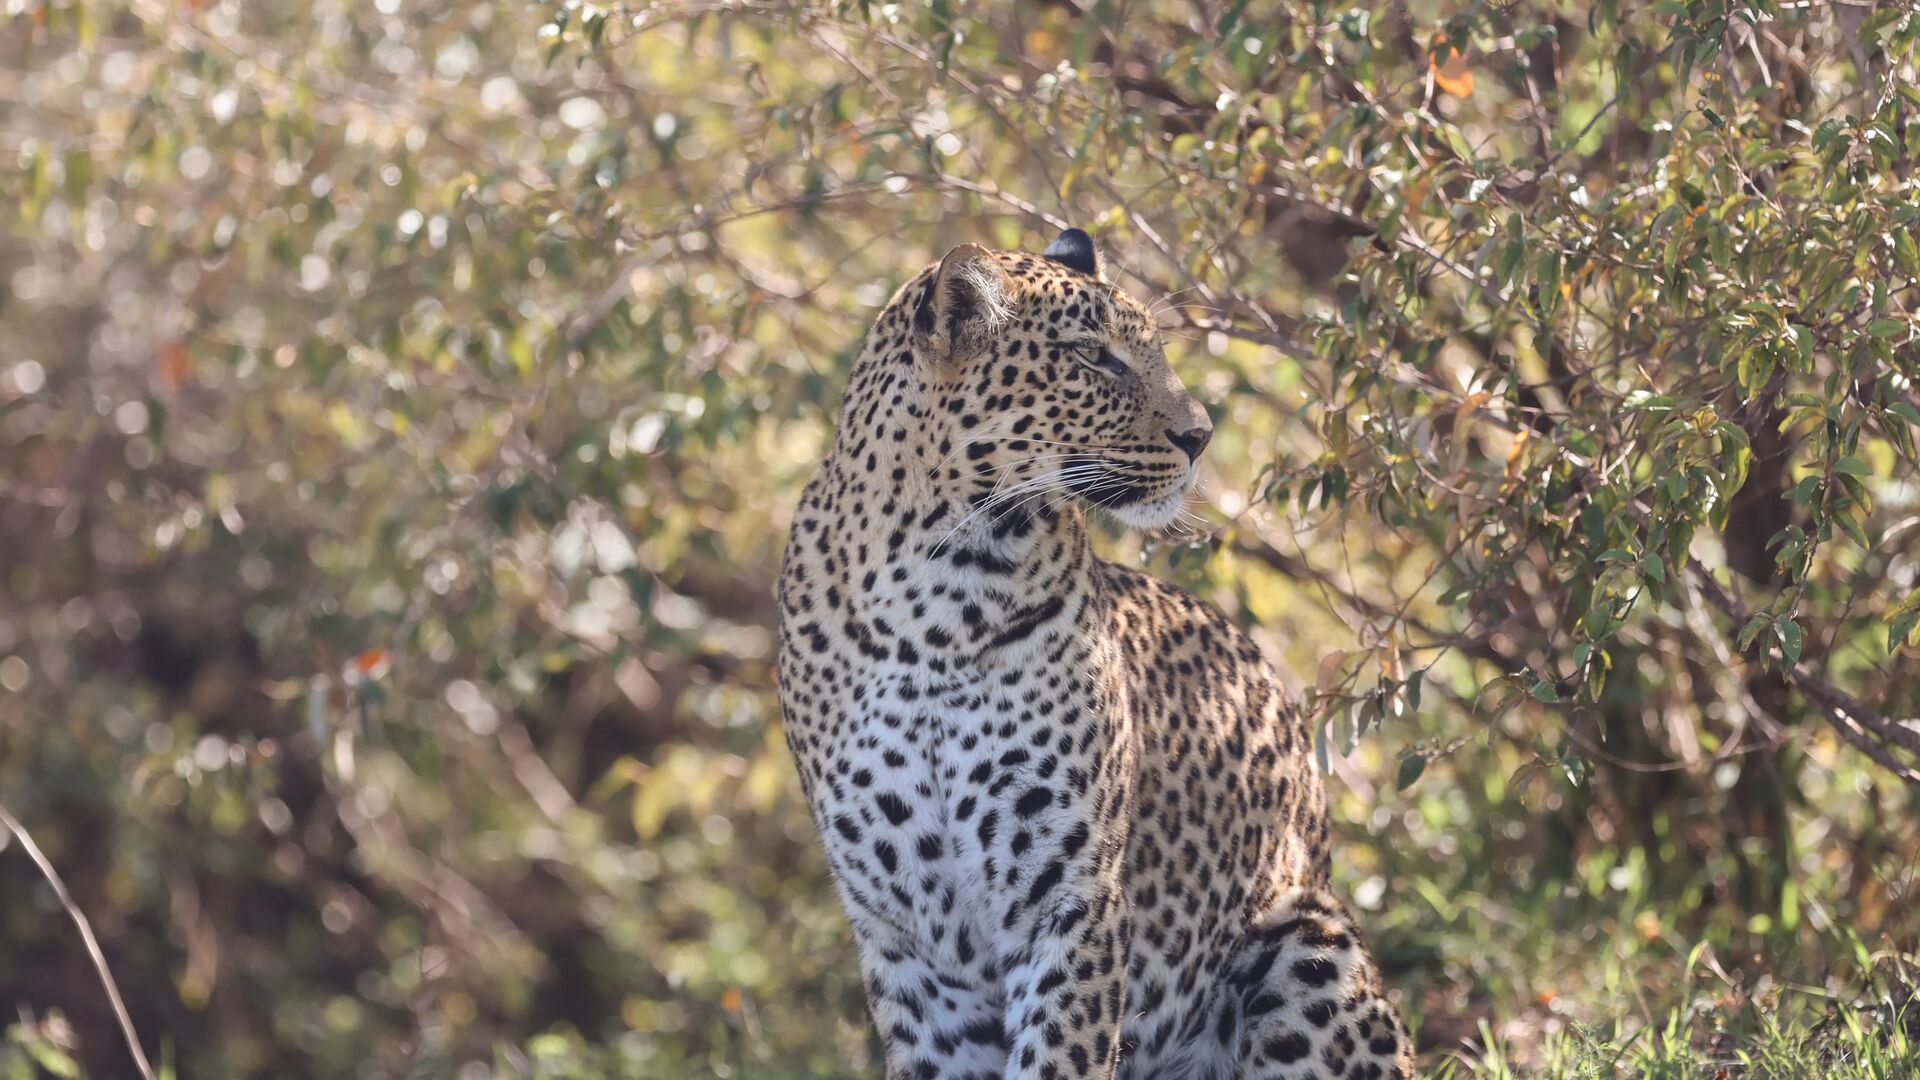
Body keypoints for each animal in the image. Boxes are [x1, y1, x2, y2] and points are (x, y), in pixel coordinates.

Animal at [776, 227, 1413, 1080]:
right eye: (1094, 358)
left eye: (1150, 350)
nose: (1200, 436)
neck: (936, 593)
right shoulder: (909, 938)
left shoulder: (1068, 898)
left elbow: (1058, 1058)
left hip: (1309, 945)